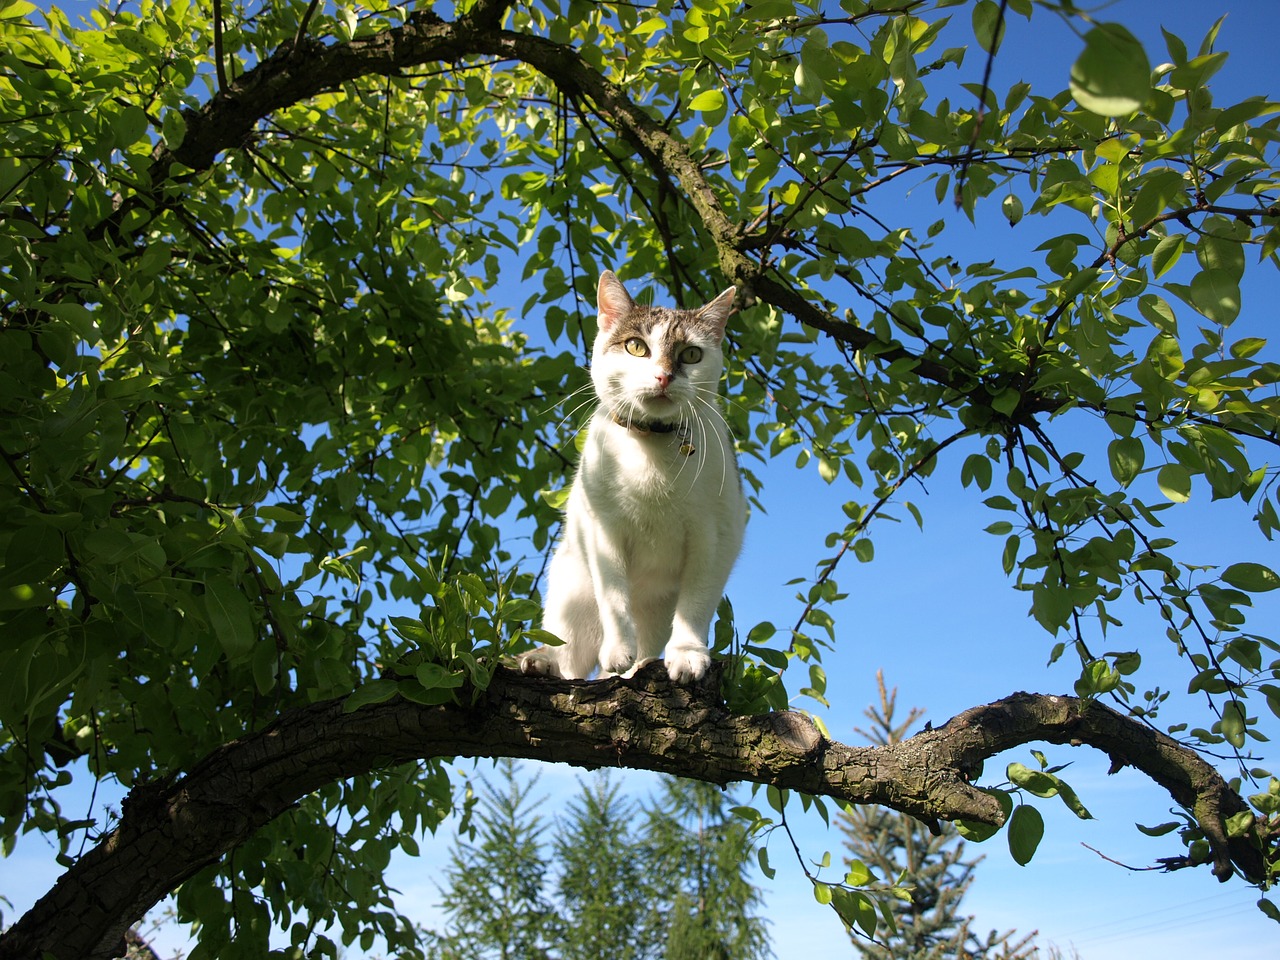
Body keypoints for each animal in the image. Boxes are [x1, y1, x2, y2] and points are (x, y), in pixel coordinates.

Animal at [517, 268, 747, 686]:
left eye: (691, 354)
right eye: (636, 347)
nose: (663, 376)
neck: (651, 447)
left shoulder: (718, 537)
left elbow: (696, 604)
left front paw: (687, 654)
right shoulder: (603, 531)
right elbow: (614, 597)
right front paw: (617, 650)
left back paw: (638, 667)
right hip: (569, 589)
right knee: (569, 655)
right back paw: (545, 660)